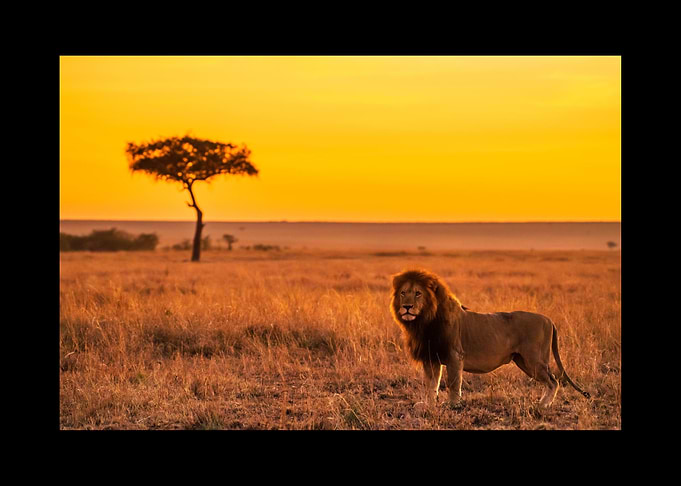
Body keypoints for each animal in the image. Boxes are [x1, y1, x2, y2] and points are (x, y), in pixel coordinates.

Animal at [389, 268, 590, 409]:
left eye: (418, 293)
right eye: (403, 293)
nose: (407, 307)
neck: (424, 322)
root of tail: (548, 319)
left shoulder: (455, 355)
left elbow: (453, 383)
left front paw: (453, 405)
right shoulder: (431, 357)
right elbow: (431, 384)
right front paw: (428, 405)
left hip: (534, 360)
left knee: (553, 381)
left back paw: (542, 406)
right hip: (523, 361)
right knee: (551, 380)